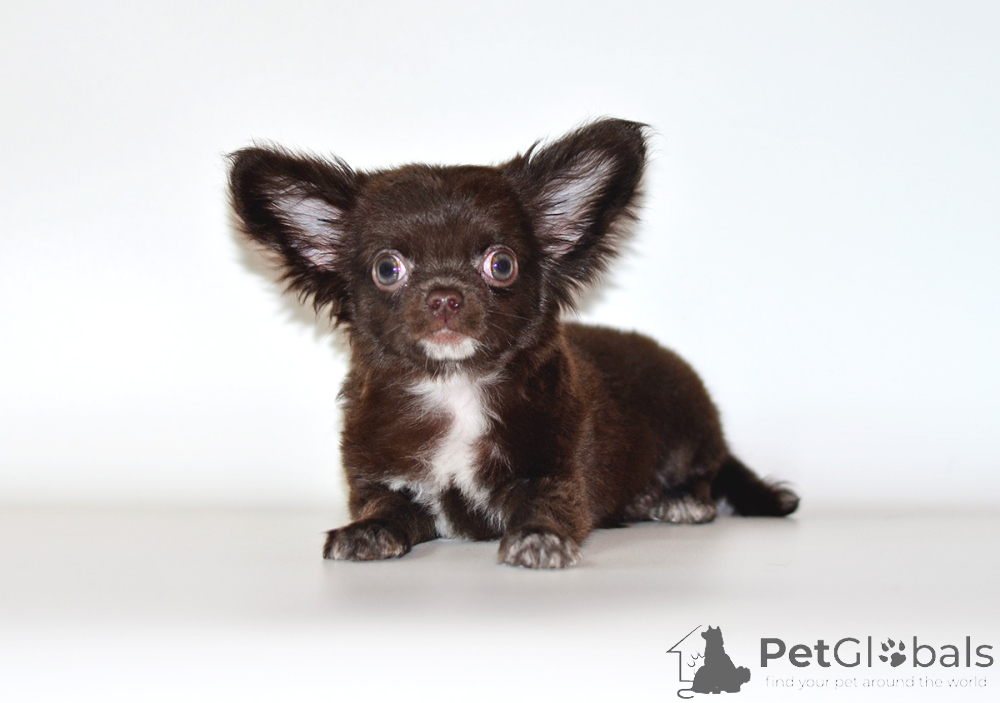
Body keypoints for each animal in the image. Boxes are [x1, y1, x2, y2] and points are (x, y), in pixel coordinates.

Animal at [228, 118, 798, 569]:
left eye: (501, 264)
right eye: (387, 269)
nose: (444, 296)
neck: (455, 387)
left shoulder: (558, 474)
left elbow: (547, 507)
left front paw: (539, 539)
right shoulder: (382, 480)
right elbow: (385, 508)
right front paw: (365, 533)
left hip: (690, 423)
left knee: (705, 473)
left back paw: (677, 500)